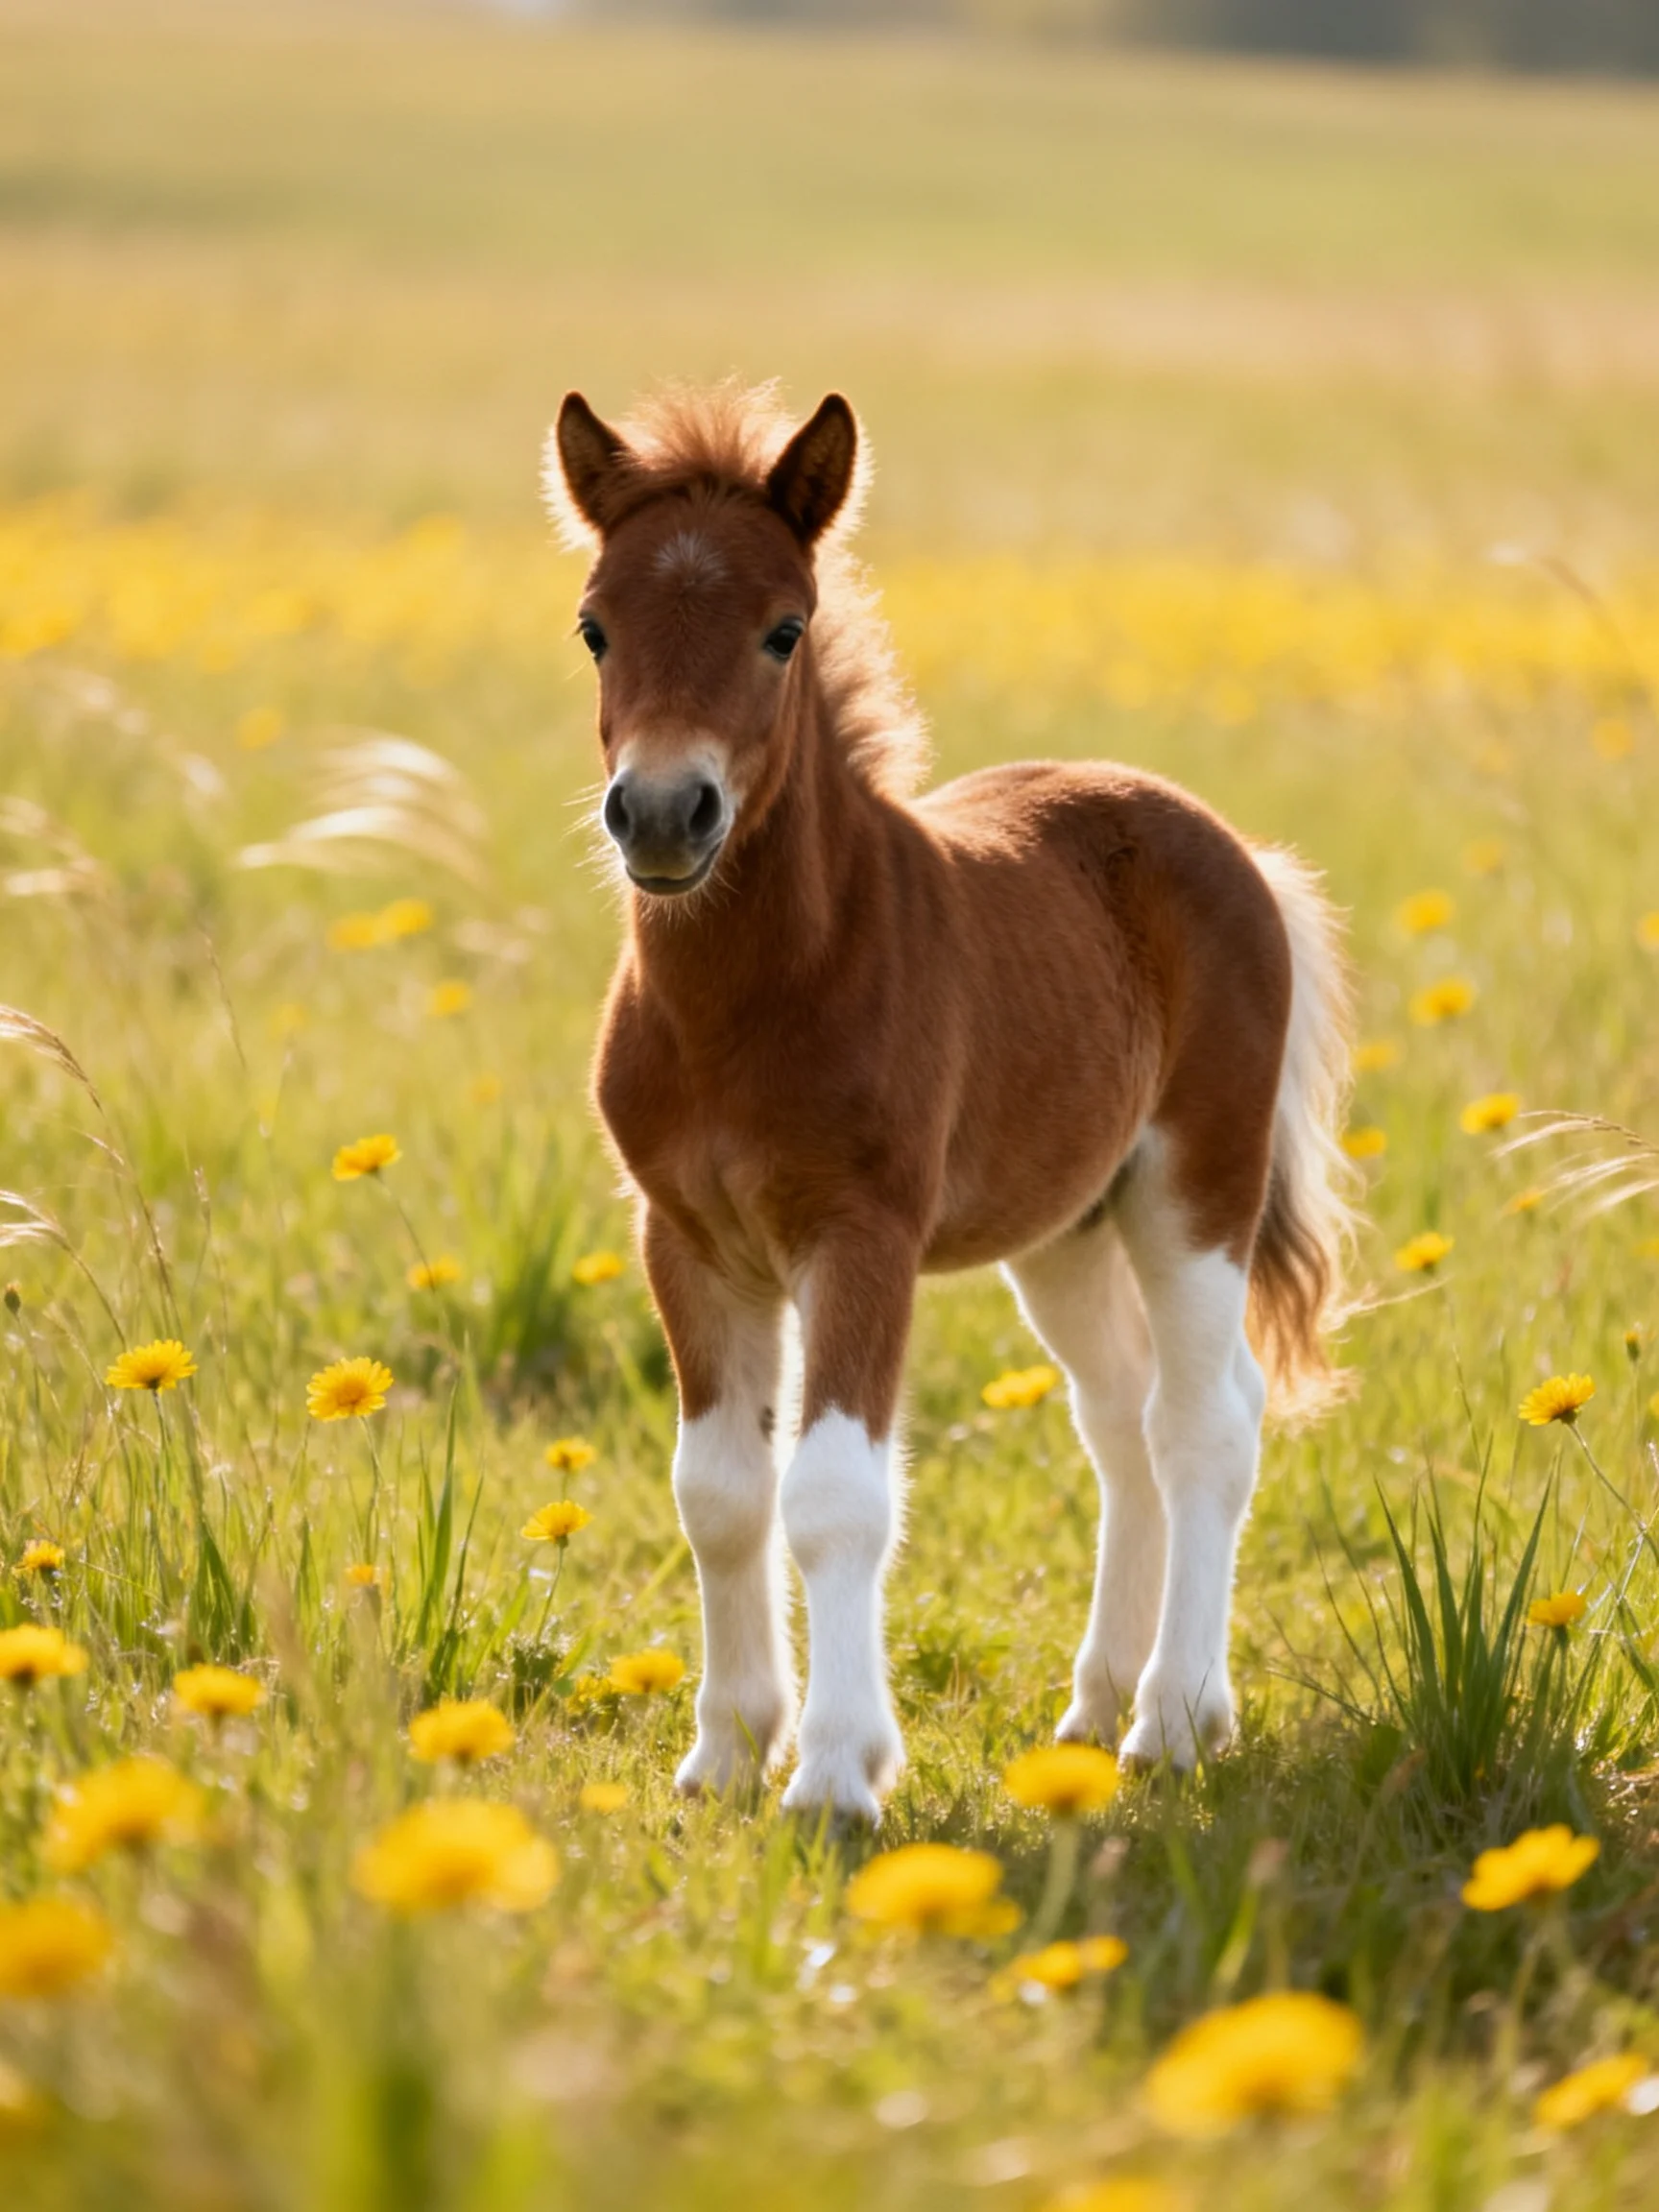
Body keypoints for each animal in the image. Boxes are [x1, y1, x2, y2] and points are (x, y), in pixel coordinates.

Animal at [547, 383, 1357, 1823]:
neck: (760, 996)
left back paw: (1172, 1721)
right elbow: (720, 1491)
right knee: (1121, 1422)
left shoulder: (860, 1233)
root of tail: (1235, 850)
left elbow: (833, 1494)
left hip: (1194, 1190)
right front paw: (726, 1754)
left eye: (783, 629)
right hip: (1068, 1230)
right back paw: (1091, 1710)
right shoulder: (686, 1240)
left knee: (1207, 1421)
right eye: (596, 627)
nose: (663, 812)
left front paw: (833, 1777)